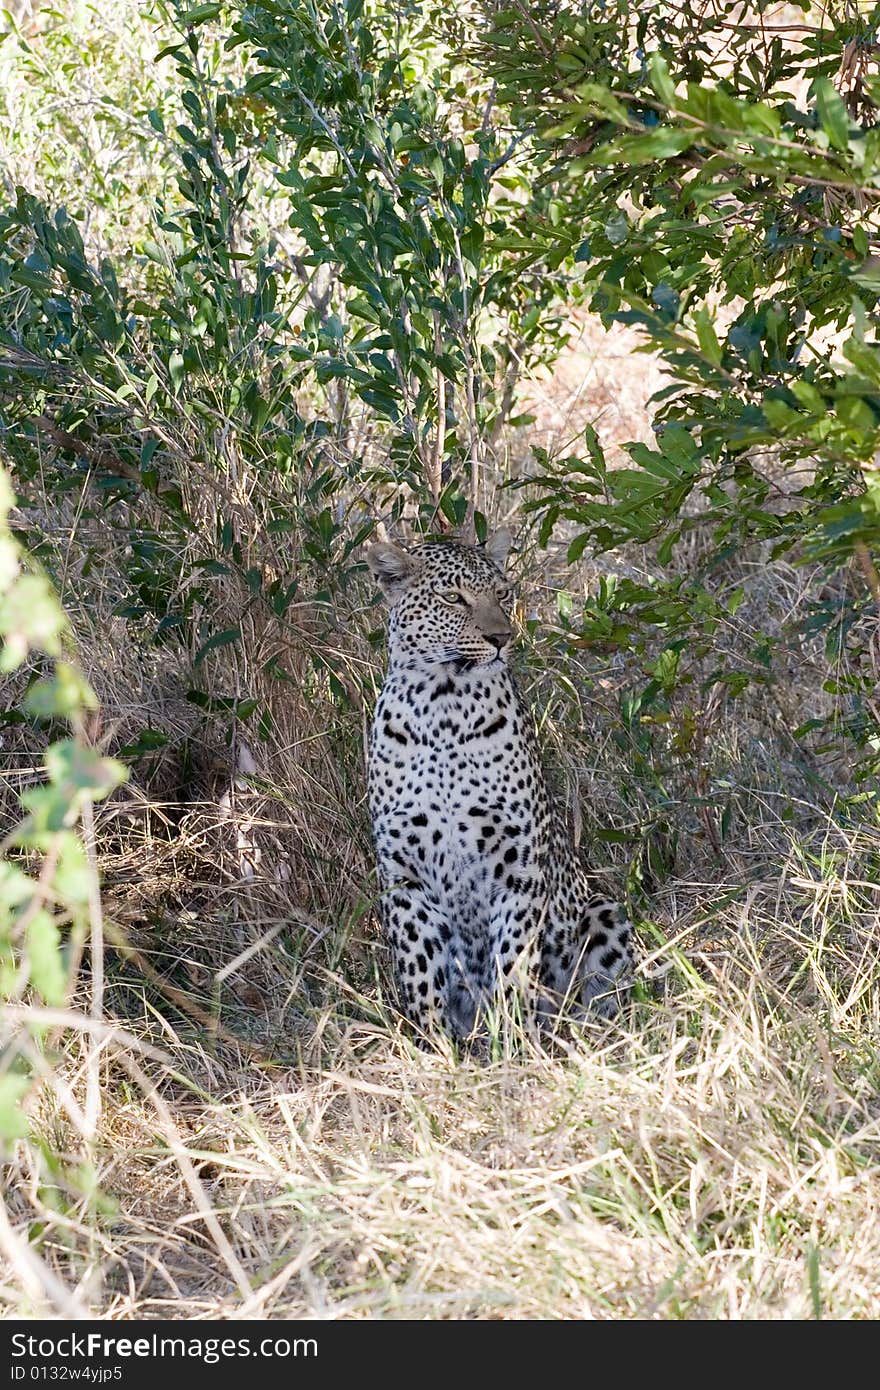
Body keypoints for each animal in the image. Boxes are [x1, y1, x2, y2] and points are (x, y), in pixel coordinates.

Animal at [364, 530, 631, 1045]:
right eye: (452, 597)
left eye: (503, 593)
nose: (502, 638)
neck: (443, 710)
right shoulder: (405, 877)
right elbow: (421, 972)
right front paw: (433, 1047)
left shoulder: (518, 864)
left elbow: (513, 961)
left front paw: (514, 1040)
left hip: (603, 910)